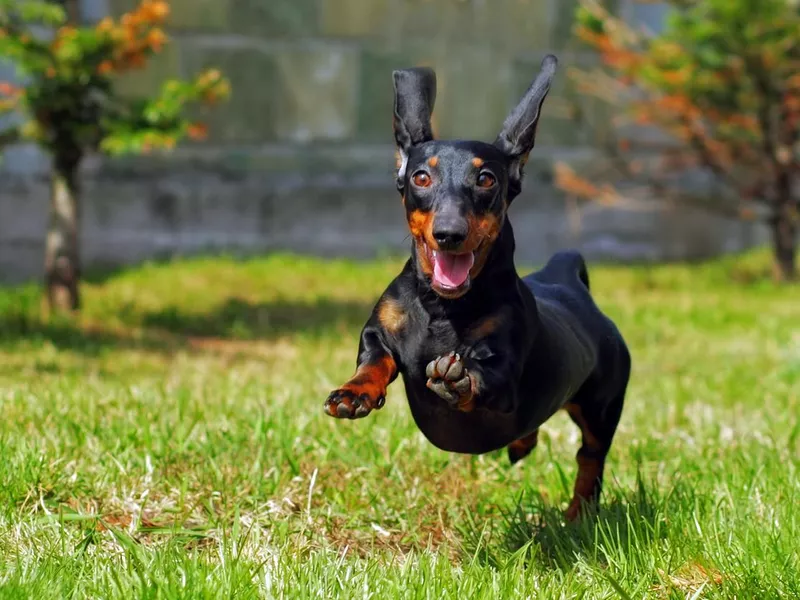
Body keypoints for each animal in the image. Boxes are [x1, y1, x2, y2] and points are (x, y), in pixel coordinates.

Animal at [324, 56, 632, 520]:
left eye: (486, 179)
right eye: (420, 177)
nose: (449, 234)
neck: (443, 308)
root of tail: (566, 280)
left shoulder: (504, 368)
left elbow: (486, 377)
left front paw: (458, 380)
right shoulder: (378, 331)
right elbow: (375, 359)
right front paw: (354, 392)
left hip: (601, 407)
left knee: (590, 458)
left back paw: (578, 515)